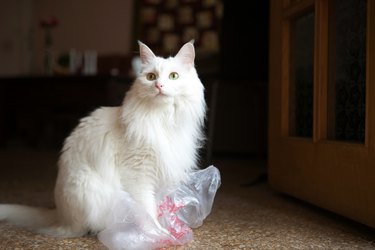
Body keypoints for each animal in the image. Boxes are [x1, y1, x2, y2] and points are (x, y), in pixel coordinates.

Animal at [0, 40, 206, 237]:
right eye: (151, 77)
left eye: (173, 76)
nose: (159, 86)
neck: (162, 118)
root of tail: (60, 214)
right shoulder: (138, 174)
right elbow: (147, 209)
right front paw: (157, 233)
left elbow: (155, 204)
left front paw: (167, 226)